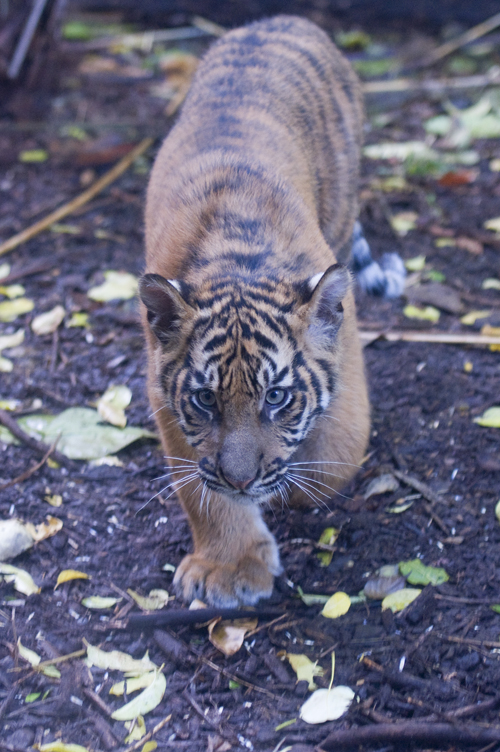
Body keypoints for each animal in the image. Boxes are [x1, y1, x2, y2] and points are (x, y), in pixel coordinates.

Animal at [140, 15, 371, 607]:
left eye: (278, 397)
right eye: (205, 399)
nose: (243, 480)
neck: (234, 262)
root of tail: (280, 20)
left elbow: (333, 459)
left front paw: (287, 490)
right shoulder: (164, 391)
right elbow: (200, 489)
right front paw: (231, 567)